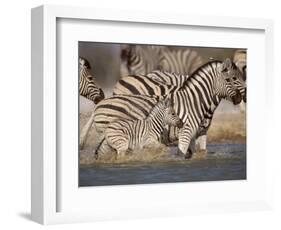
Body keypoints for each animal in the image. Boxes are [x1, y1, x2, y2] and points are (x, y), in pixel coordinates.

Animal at [93, 58, 245, 159]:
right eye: (231, 79)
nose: (240, 98)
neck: (195, 101)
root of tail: (100, 104)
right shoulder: (186, 132)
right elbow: (181, 154)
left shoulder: (198, 133)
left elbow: (198, 153)